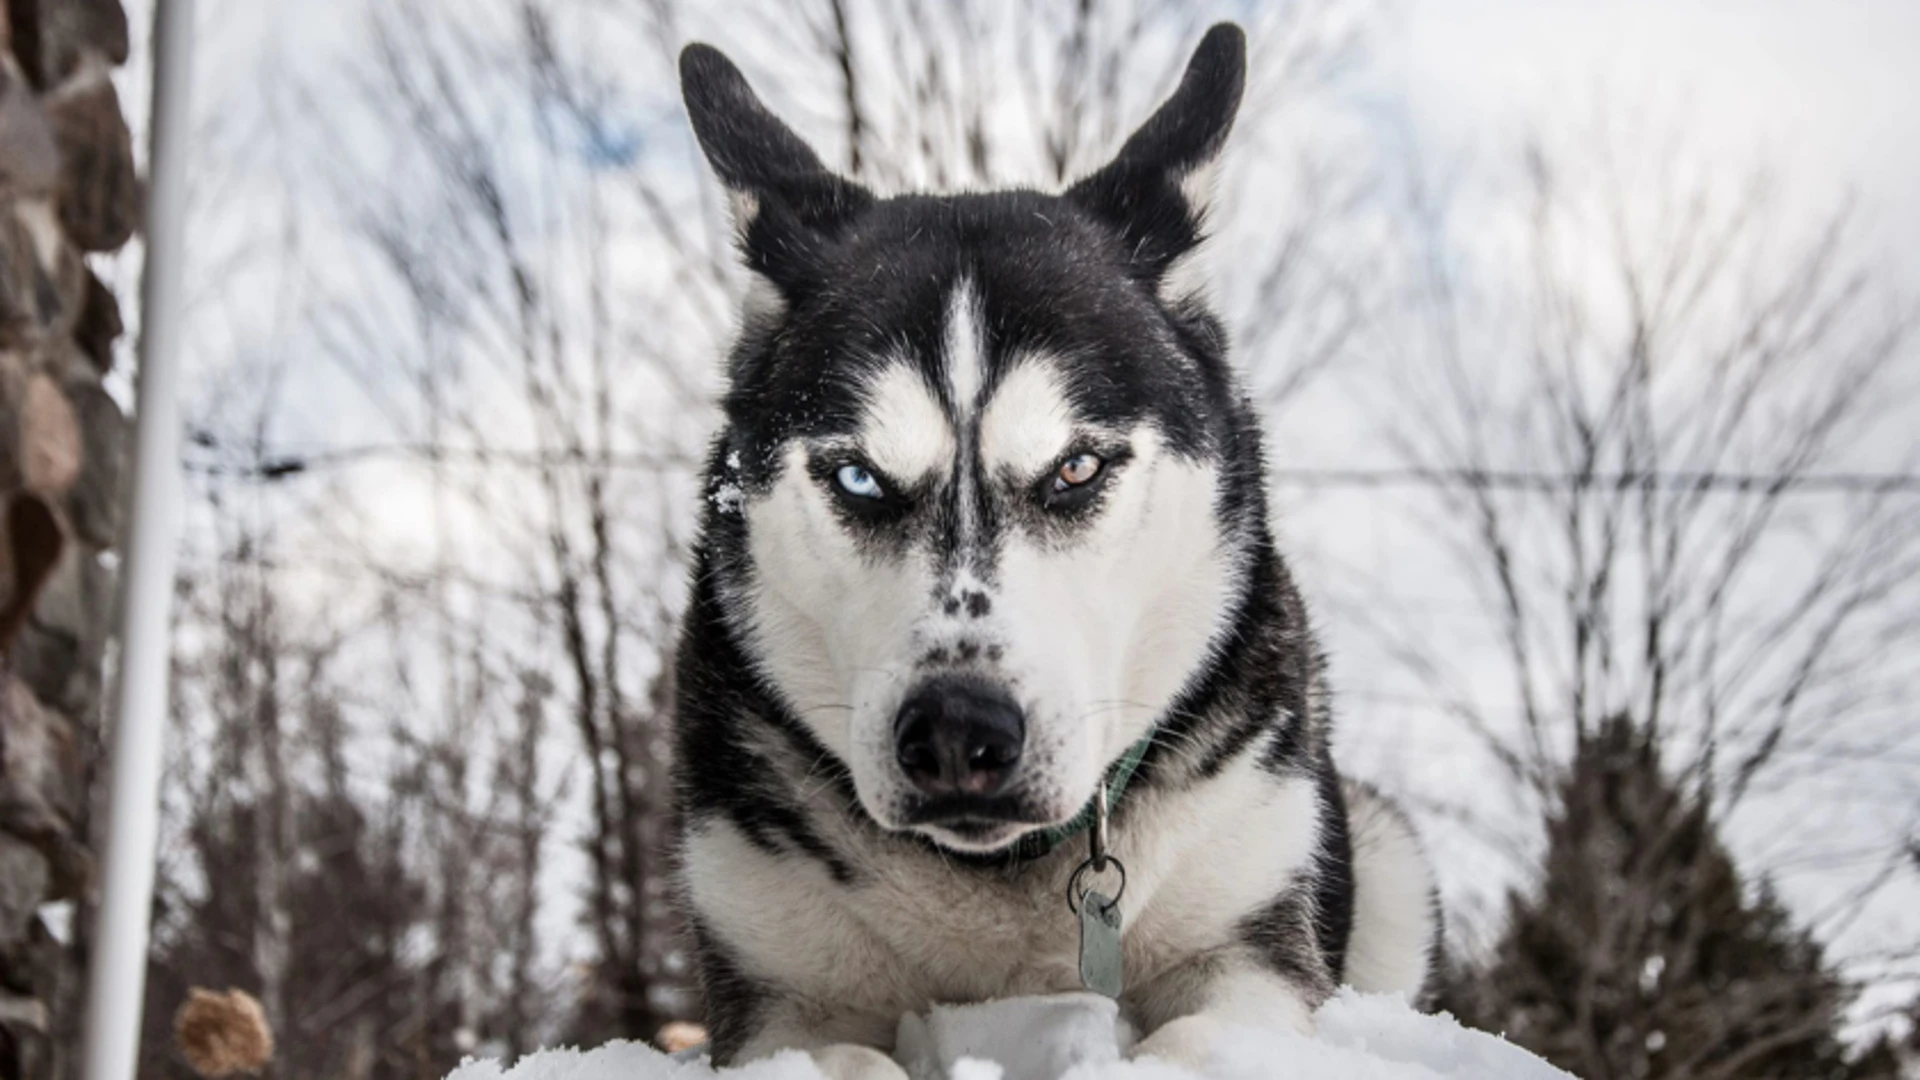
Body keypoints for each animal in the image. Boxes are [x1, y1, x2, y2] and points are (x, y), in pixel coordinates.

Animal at [668, 21, 1436, 1068]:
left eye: (1075, 467)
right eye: (859, 478)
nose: (958, 731)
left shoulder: (1250, 954)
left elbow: (1198, 1041)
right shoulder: (782, 994)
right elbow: (836, 1052)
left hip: (1387, 856)